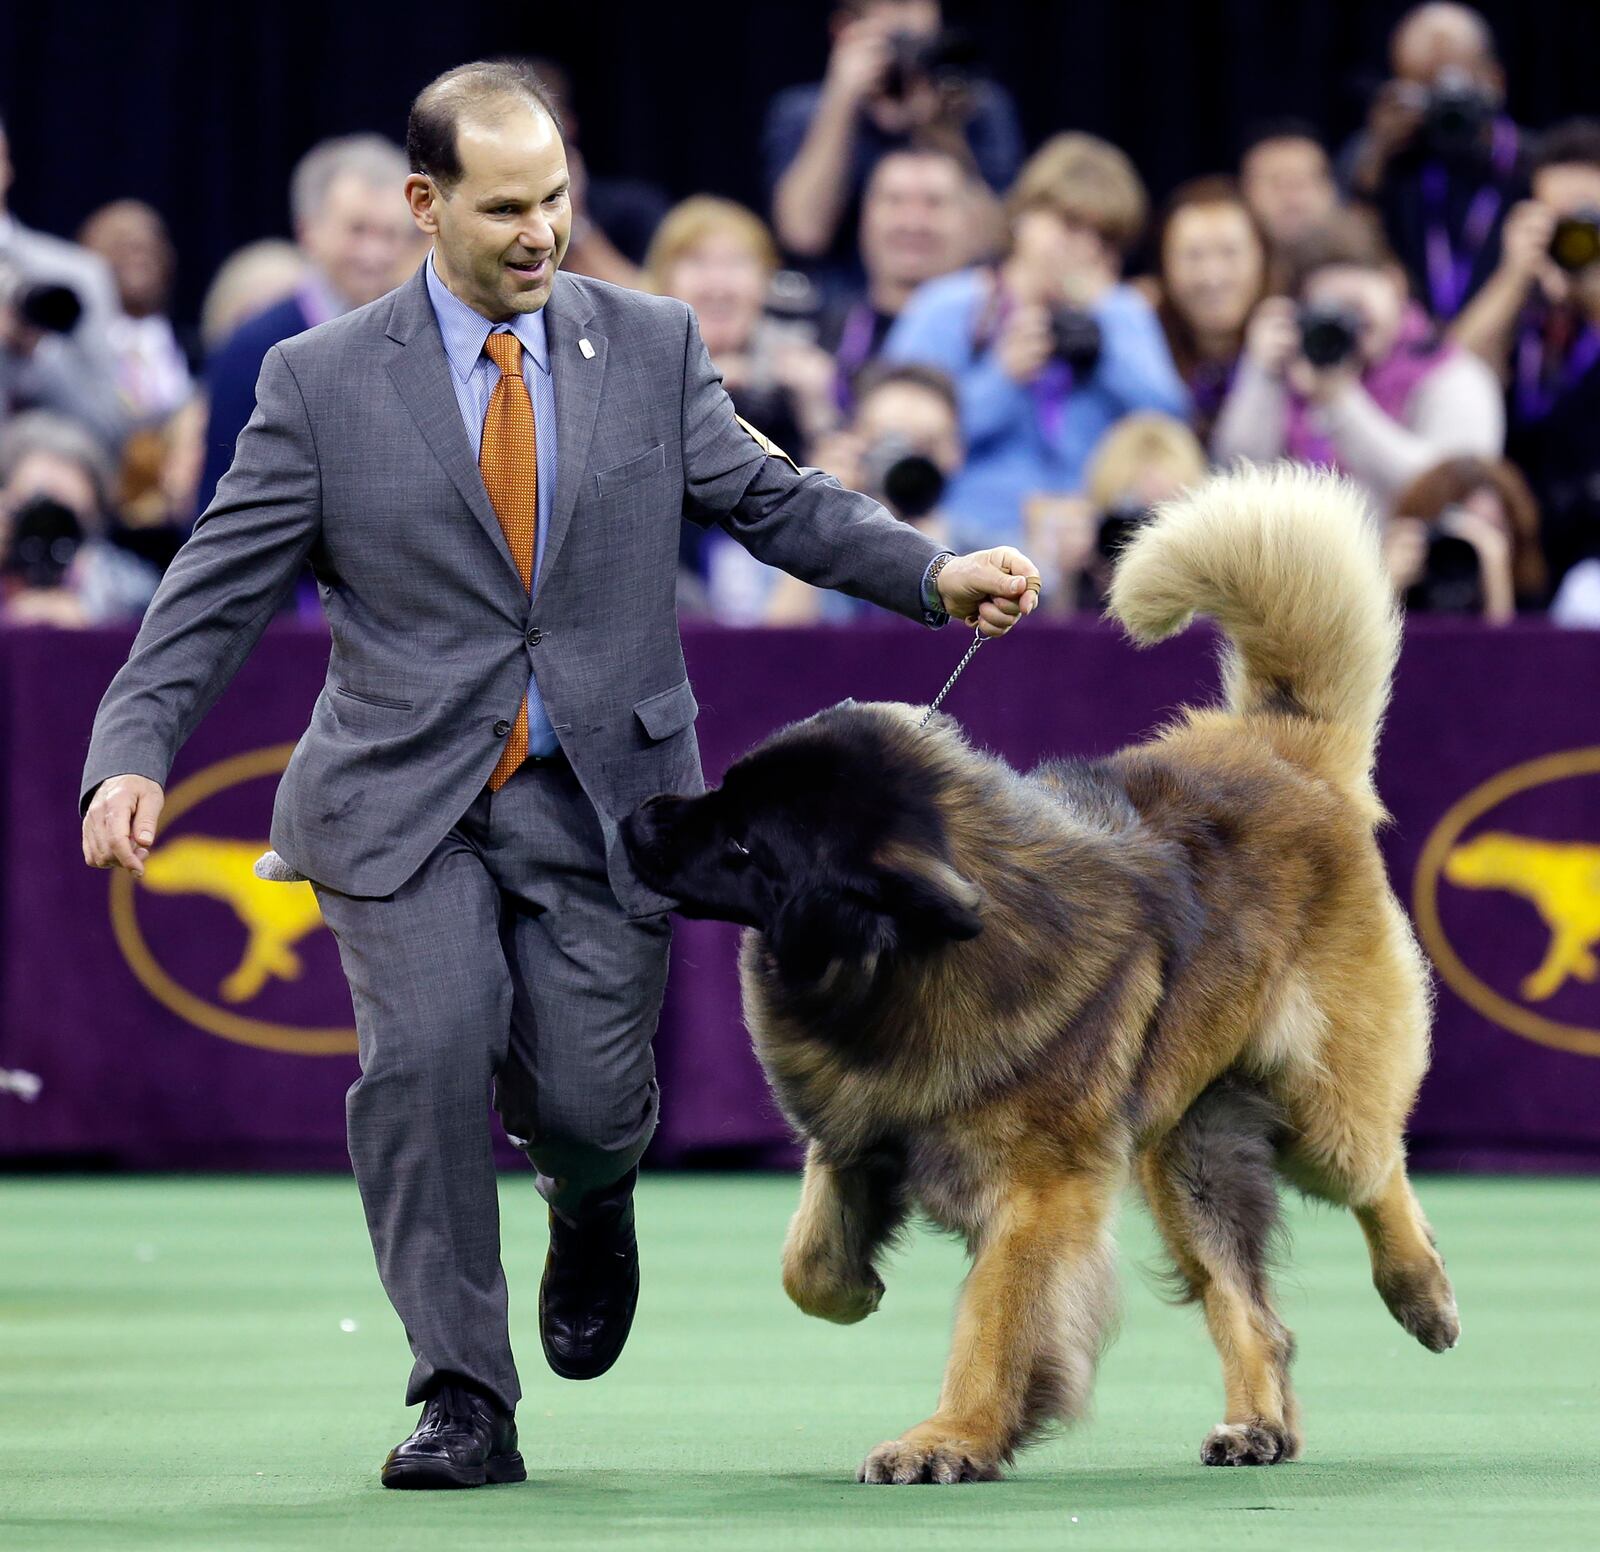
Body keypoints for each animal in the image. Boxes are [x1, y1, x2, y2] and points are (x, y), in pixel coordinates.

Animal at [624, 467, 1465, 1484]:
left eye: (749, 845)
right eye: (726, 792)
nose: (637, 817)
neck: (906, 957)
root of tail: (1282, 745)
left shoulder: (1039, 1192)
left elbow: (998, 1316)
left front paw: (949, 1439)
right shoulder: (857, 1124)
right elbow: (806, 1265)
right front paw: (856, 1289)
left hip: (1315, 1102)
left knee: (1377, 1171)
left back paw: (1422, 1296)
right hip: (1186, 1150)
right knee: (1247, 1302)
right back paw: (1257, 1423)